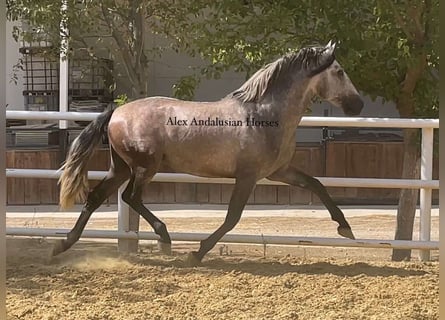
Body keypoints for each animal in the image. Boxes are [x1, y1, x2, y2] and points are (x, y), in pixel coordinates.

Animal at [53, 41, 362, 264]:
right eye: (339, 72)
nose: (357, 104)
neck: (264, 115)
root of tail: (116, 112)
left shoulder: (279, 172)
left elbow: (317, 184)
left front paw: (345, 228)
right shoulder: (247, 176)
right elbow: (232, 217)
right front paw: (197, 253)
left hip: (121, 167)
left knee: (95, 198)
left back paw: (63, 244)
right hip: (144, 167)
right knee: (131, 197)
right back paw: (164, 239)